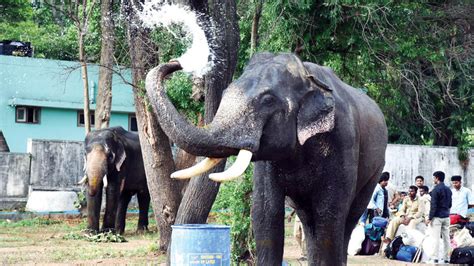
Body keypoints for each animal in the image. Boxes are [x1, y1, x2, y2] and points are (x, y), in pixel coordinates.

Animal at [146, 53, 386, 264]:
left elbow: (330, 214)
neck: (308, 77)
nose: (176, 62)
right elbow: (265, 213)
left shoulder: (342, 142)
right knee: (308, 221)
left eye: (268, 100)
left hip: (375, 170)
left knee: (348, 218)